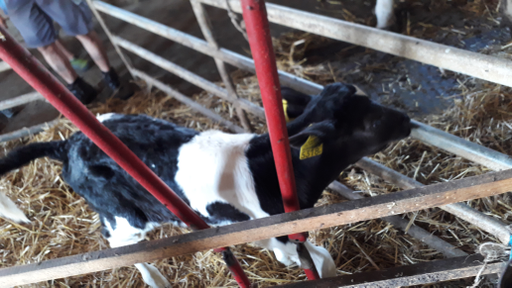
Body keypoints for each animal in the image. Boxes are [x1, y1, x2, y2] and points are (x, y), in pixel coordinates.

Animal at [0, 82, 410, 286]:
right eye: (371, 120)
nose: (407, 120)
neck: (266, 167)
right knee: (116, 244)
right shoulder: (278, 237)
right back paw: (156, 281)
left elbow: (324, 260)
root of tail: (66, 142)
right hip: (126, 218)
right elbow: (319, 261)